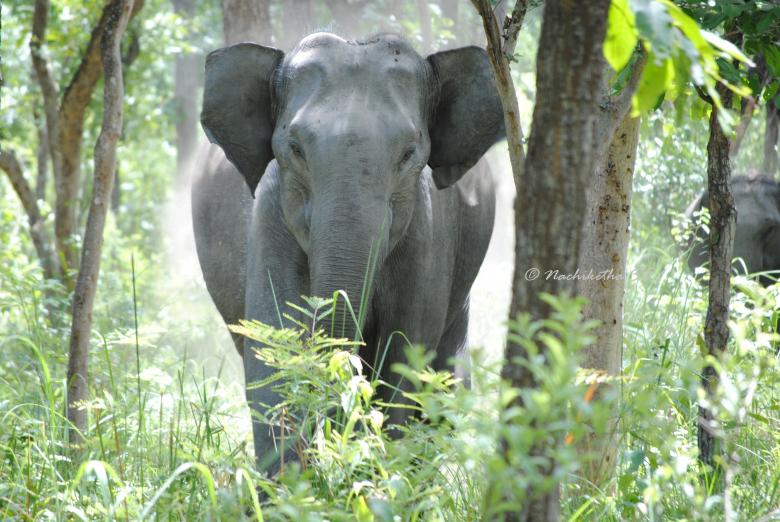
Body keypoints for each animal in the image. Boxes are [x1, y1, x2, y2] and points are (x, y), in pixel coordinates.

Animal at [191, 32, 504, 474]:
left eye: (409, 154)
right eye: (295, 148)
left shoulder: (427, 235)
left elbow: (402, 357)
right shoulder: (270, 216)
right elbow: (273, 351)